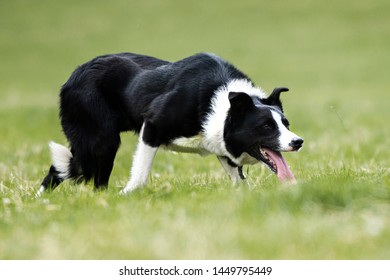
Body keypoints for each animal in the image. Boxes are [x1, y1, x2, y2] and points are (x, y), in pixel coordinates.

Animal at [35, 53, 304, 197]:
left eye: (286, 123)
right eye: (266, 126)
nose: (298, 141)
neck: (219, 99)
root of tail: (74, 75)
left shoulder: (221, 146)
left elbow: (239, 180)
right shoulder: (152, 127)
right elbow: (140, 175)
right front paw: (125, 196)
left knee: (65, 171)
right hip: (101, 142)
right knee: (77, 173)